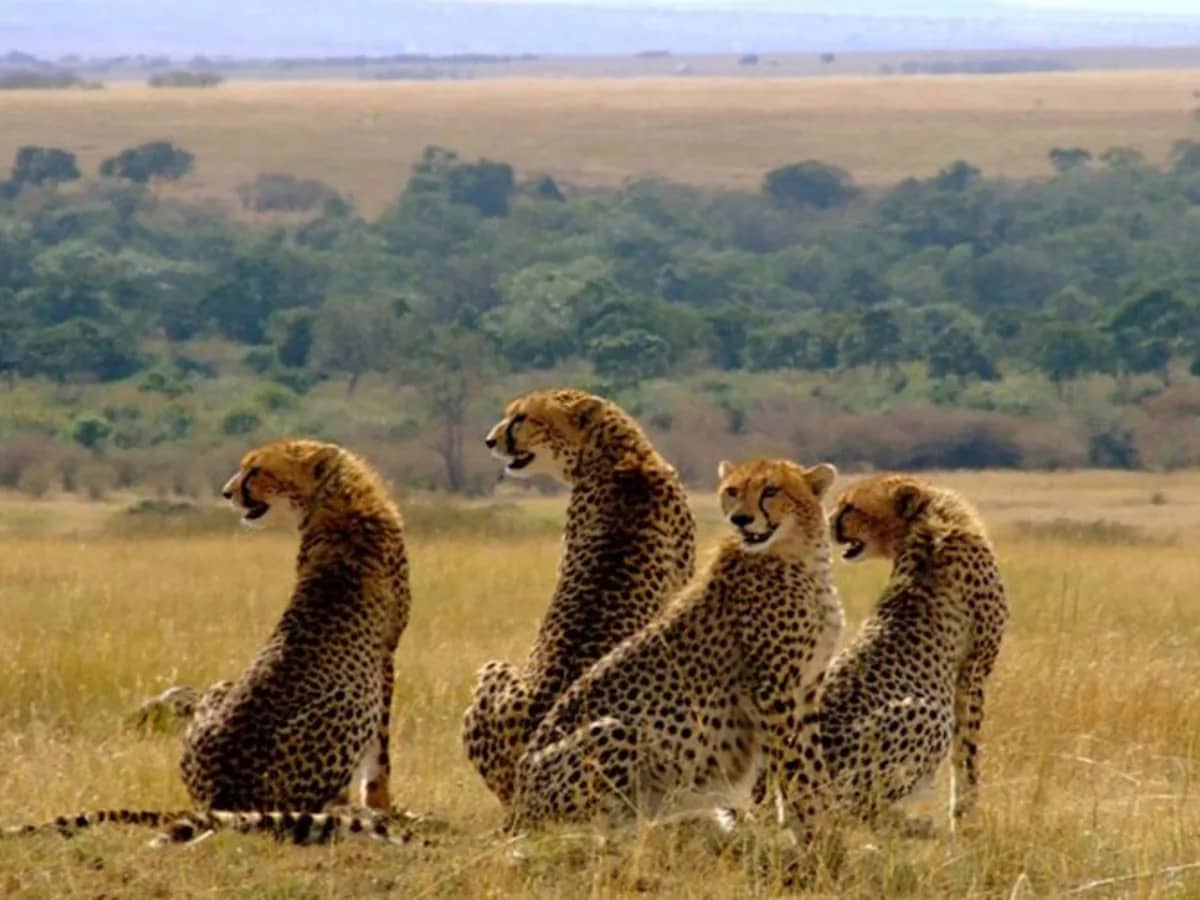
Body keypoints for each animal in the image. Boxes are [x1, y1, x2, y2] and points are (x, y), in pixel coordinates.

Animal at [508, 457, 844, 843]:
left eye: (771, 490)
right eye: (732, 491)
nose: (740, 519)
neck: (801, 556)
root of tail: (513, 804)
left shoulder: (805, 690)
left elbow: (810, 769)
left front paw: (821, 829)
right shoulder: (773, 693)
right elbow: (799, 769)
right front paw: (820, 836)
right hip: (614, 731)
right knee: (581, 829)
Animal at [820, 473, 1009, 832]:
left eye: (850, 507)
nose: (826, 523)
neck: (927, 522)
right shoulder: (975, 670)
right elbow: (966, 754)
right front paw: (965, 821)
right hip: (929, 713)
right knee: (848, 811)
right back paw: (912, 823)